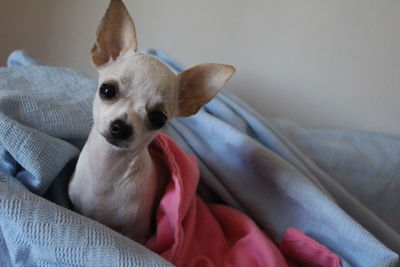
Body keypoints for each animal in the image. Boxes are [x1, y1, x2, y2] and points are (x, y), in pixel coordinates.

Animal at [68, 0, 234, 244]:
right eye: (107, 90)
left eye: (158, 118)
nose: (121, 128)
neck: (107, 174)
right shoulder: (76, 207)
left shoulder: (137, 233)